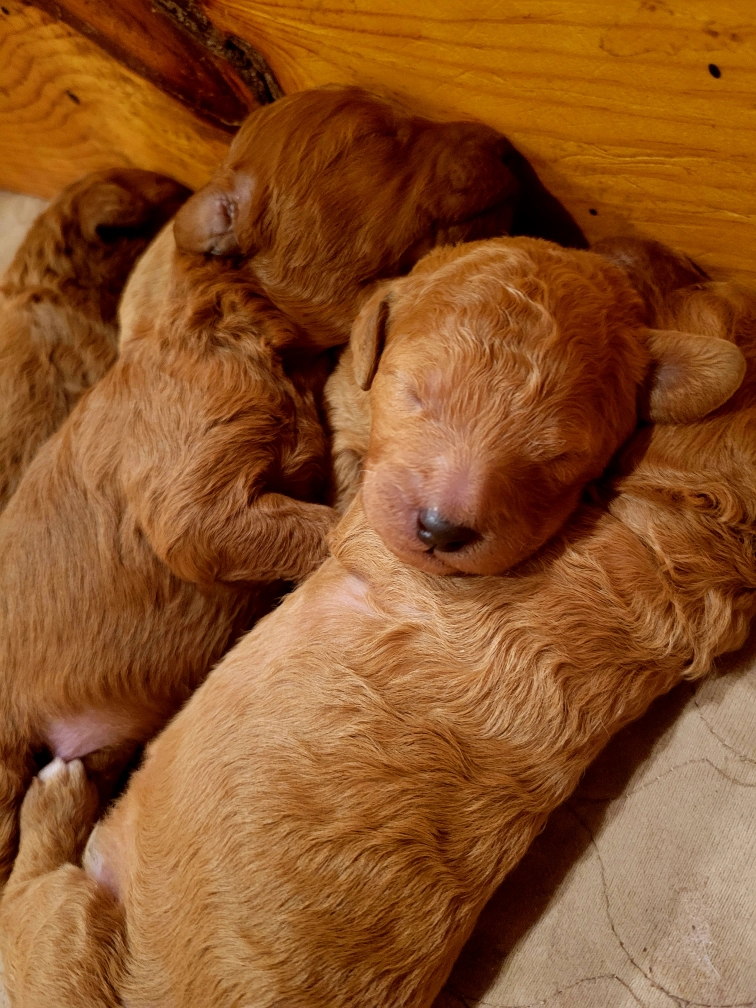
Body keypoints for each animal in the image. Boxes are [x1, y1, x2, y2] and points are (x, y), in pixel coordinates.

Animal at [0, 239, 753, 1003]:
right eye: (414, 393)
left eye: (559, 456)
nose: (442, 530)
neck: (675, 535)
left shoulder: (371, 530)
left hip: (72, 935)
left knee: (26, 902)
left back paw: (57, 801)